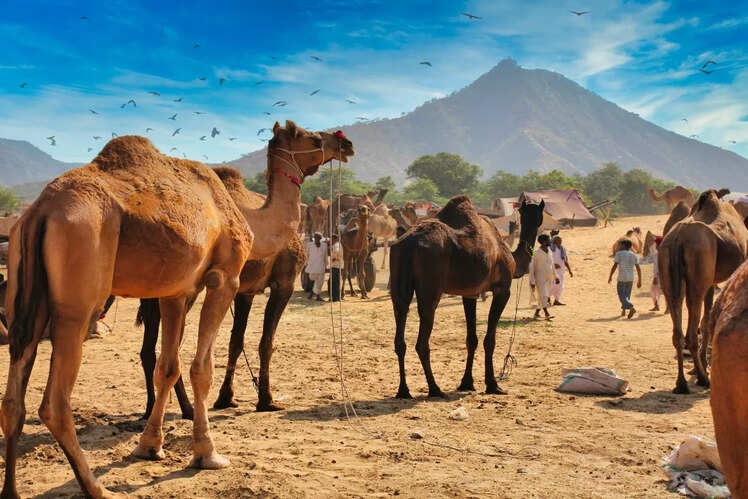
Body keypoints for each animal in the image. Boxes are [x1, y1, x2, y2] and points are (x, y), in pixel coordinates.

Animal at [1, 135, 254, 498]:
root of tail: (41, 210)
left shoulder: (174, 291)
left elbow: (167, 368)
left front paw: (149, 447)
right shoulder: (225, 276)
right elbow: (201, 369)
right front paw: (208, 455)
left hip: (25, 295)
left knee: (13, 398)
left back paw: (12, 491)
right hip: (79, 292)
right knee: (55, 401)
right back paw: (98, 488)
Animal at [136, 122, 354, 417]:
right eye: (314, 138)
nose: (346, 143)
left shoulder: (246, 290)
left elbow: (236, 341)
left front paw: (226, 397)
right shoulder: (283, 283)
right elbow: (266, 342)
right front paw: (267, 400)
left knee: (152, 348)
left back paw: (154, 408)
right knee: (171, 346)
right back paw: (186, 408)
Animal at [389, 196, 544, 398]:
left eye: (537, 214)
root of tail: (408, 244)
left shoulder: (469, 293)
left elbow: (472, 339)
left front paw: (466, 383)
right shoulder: (503, 289)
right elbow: (489, 340)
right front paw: (493, 385)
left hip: (398, 281)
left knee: (400, 330)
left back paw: (403, 390)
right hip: (431, 288)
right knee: (422, 341)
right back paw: (435, 389)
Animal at [658, 189, 748, 394]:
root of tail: (678, 238)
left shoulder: (711, 281)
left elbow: (707, 321)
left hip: (668, 271)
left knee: (677, 328)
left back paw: (681, 383)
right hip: (698, 272)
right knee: (691, 331)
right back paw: (702, 378)